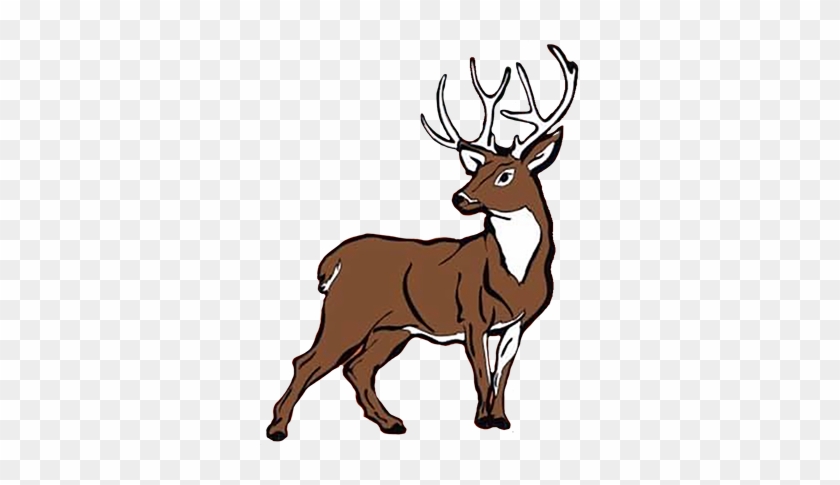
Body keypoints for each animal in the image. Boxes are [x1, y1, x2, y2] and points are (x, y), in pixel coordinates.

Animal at [267, 44, 578, 441]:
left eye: (505, 175)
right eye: (474, 170)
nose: (460, 198)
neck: (515, 275)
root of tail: (334, 260)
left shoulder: (518, 323)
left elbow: (502, 374)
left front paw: (501, 419)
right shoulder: (472, 315)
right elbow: (481, 373)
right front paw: (483, 420)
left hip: (392, 328)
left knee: (357, 367)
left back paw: (391, 422)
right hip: (348, 312)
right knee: (307, 361)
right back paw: (277, 427)